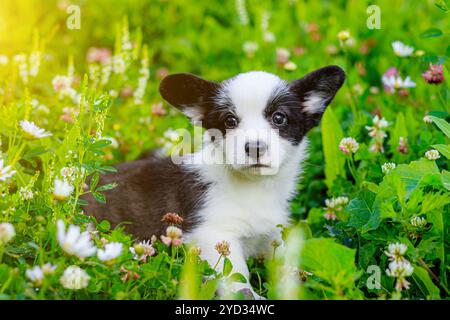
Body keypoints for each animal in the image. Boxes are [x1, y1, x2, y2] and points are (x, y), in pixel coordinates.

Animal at [85, 64, 344, 298]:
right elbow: (237, 275)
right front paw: (250, 295)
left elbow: (288, 261)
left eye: (279, 118)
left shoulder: (272, 236)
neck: (254, 186)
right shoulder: (213, 234)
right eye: (230, 121)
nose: (255, 147)